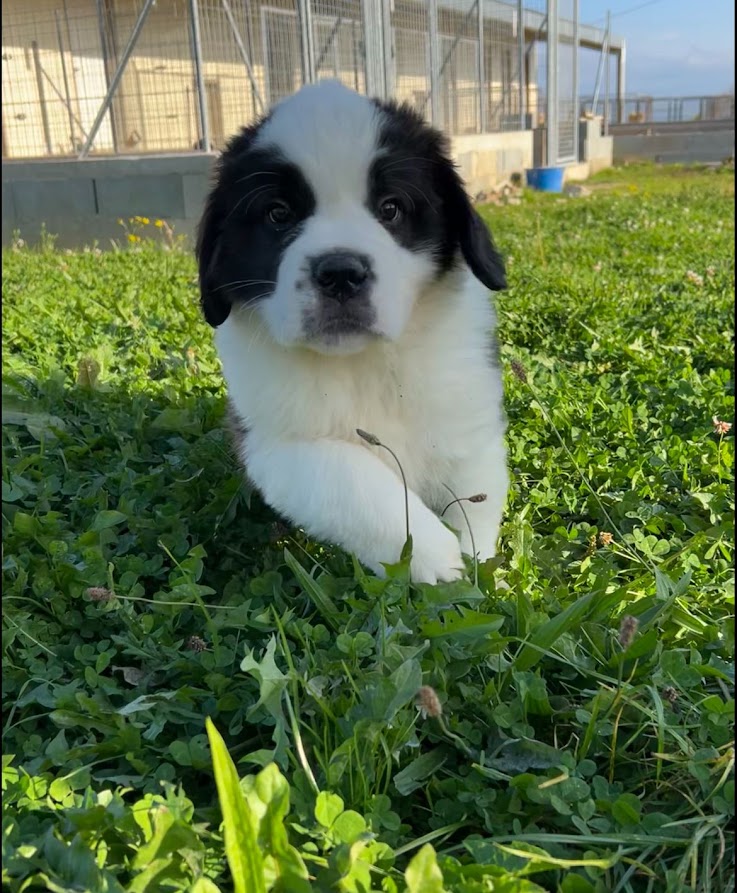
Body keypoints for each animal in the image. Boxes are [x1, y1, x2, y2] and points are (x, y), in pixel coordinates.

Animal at [194, 80, 506, 584]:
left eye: (391, 209)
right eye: (278, 214)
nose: (340, 273)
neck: (363, 361)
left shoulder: (464, 400)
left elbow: (475, 485)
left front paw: (480, 562)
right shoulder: (273, 443)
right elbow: (354, 478)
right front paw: (437, 559)